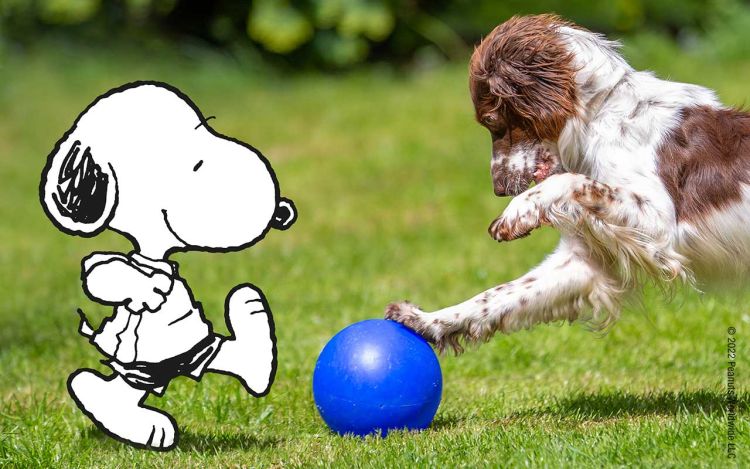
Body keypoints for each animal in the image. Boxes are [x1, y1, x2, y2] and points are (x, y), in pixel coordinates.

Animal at [388, 13, 750, 352]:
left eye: (491, 121)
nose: (499, 189)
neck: (602, 116)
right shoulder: (585, 261)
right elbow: (498, 295)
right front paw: (427, 321)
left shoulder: (660, 223)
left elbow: (569, 179)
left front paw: (517, 213)